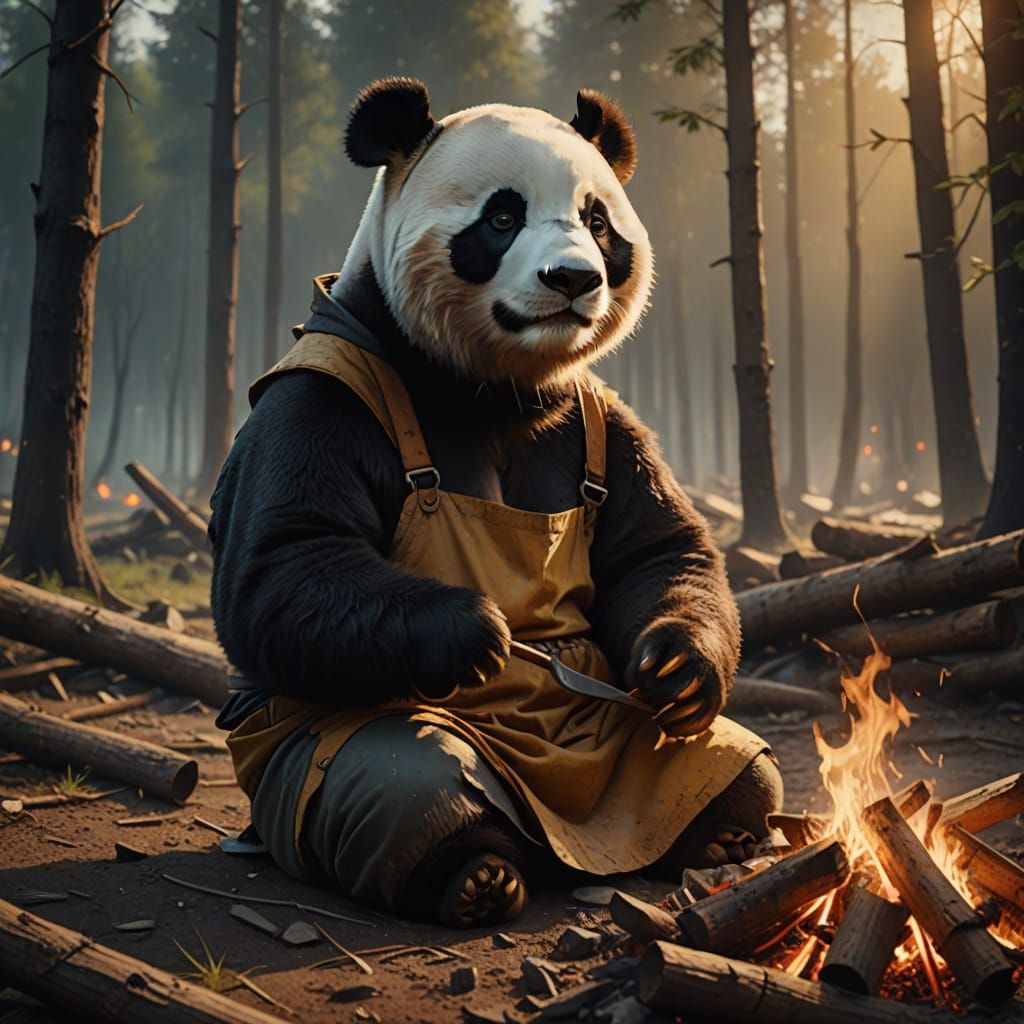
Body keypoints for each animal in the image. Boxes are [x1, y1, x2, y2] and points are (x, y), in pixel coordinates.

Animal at [210, 79, 782, 927]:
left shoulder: (601, 415)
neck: (489, 384)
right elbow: (283, 566)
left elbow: (656, 547)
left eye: (597, 221)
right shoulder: (319, 401)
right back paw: (476, 873)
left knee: (733, 766)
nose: (573, 279)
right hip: (310, 750)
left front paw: (677, 670)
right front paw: (475, 629)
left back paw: (719, 835)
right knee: (402, 784)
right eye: (502, 218)